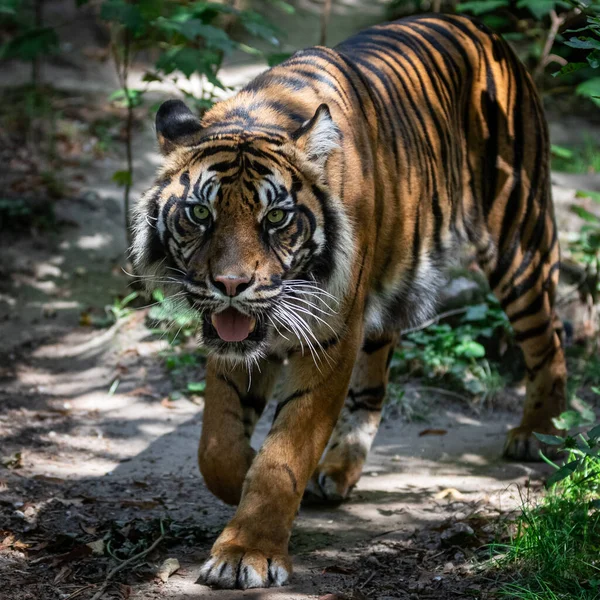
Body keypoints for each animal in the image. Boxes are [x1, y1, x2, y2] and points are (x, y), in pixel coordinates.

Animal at [131, 12, 568, 592]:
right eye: (201, 214)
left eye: (276, 218)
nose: (231, 285)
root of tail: (481, 30)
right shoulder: (241, 342)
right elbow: (216, 447)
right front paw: (246, 472)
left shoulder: (329, 336)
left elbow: (284, 456)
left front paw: (248, 552)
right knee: (373, 386)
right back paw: (339, 469)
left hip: (520, 241)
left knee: (549, 338)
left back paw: (536, 433)